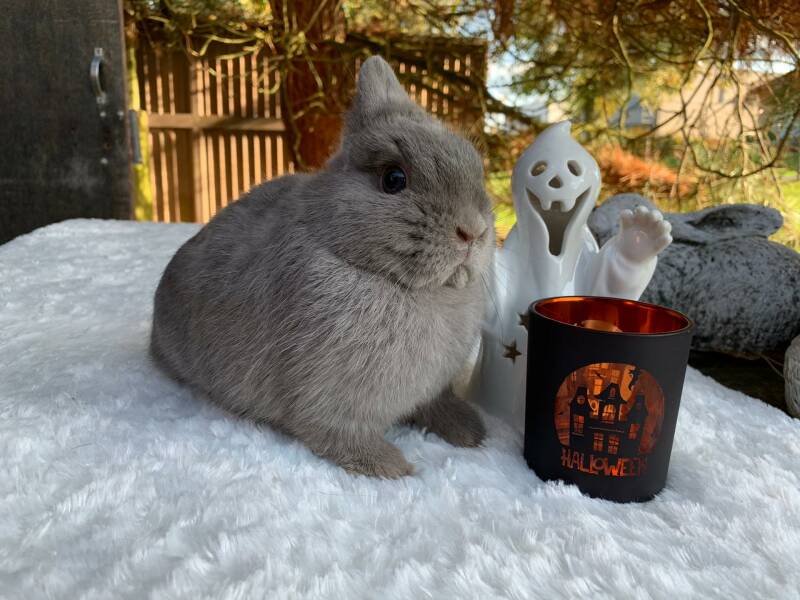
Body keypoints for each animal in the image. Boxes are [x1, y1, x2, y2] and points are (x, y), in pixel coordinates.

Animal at [150, 56, 495, 478]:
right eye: (393, 179)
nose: (473, 231)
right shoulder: (328, 402)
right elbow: (336, 435)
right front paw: (391, 468)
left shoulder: (433, 388)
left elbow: (437, 403)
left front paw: (470, 432)